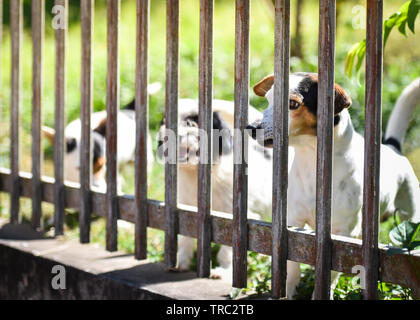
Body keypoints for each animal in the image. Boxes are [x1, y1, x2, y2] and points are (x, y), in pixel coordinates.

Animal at [248, 73, 418, 300]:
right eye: (268, 100)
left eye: (293, 104)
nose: (251, 128)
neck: (311, 161)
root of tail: (393, 149)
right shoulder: (292, 222)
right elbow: (292, 265)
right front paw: (288, 290)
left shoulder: (342, 233)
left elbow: (333, 273)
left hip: (410, 215)